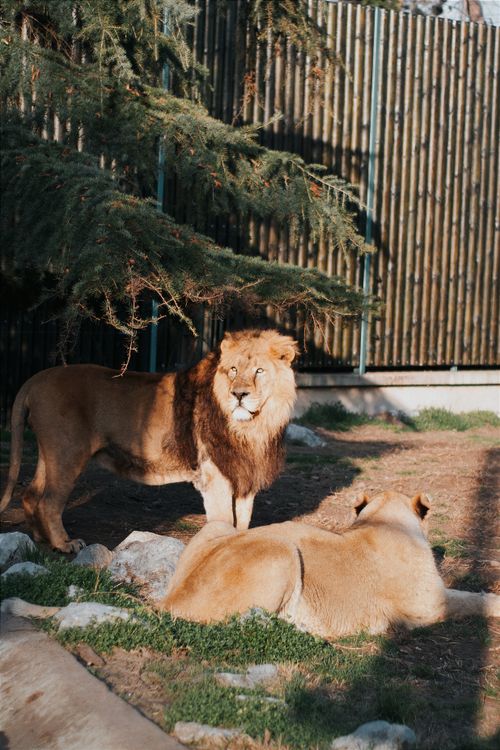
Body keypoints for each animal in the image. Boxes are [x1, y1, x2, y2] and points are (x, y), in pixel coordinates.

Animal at [0, 329, 298, 553]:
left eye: (259, 371)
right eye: (233, 370)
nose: (239, 395)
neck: (254, 426)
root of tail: (37, 379)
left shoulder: (244, 477)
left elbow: (243, 522)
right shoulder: (215, 478)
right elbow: (224, 521)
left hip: (49, 452)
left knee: (31, 494)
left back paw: (41, 539)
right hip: (68, 453)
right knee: (49, 502)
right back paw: (64, 544)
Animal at [159, 490, 500, 636]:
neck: (383, 519)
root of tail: (168, 602)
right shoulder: (427, 605)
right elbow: (469, 600)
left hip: (217, 526)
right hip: (282, 551)